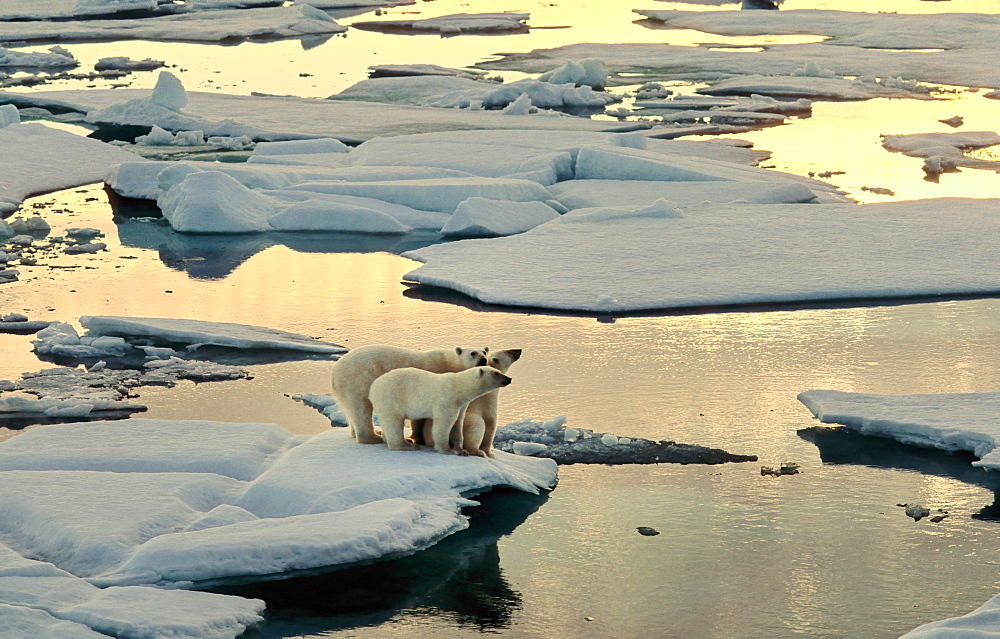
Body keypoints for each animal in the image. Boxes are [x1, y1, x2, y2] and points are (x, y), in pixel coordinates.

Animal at [332, 344, 488, 444]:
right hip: (358, 380)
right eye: (473, 353)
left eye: (484, 351)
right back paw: (375, 437)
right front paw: (418, 438)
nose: (483, 359)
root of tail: (335, 371)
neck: (450, 363)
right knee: (361, 408)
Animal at [370, 364, 516, 456]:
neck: (458, 388)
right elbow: (443, 424)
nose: (509, 379)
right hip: (391, 398)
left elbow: (458, 423)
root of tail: (373, 388)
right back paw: (407, 445)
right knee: (393, 422)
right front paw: (447, 450)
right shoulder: (447, 400)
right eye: (496, 373)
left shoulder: (461, 405)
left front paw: (462, 450)